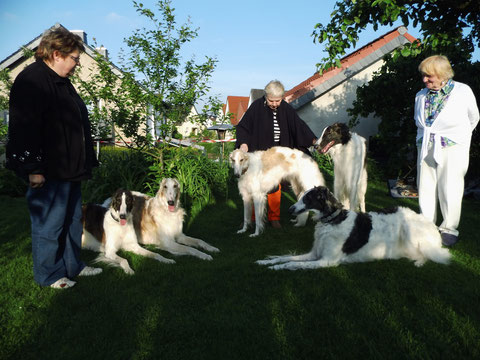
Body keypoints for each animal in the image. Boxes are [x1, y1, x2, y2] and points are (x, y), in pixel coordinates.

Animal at [256, 187, 448, 268]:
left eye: (308, 198)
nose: (290, 209)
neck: (333, 220)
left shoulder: (327, 260)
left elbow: (292, 264)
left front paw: (276, 268)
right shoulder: (315, 253)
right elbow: (287, 257)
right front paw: (266, 261)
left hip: (411, 234)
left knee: (433, 254)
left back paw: (419, 261)